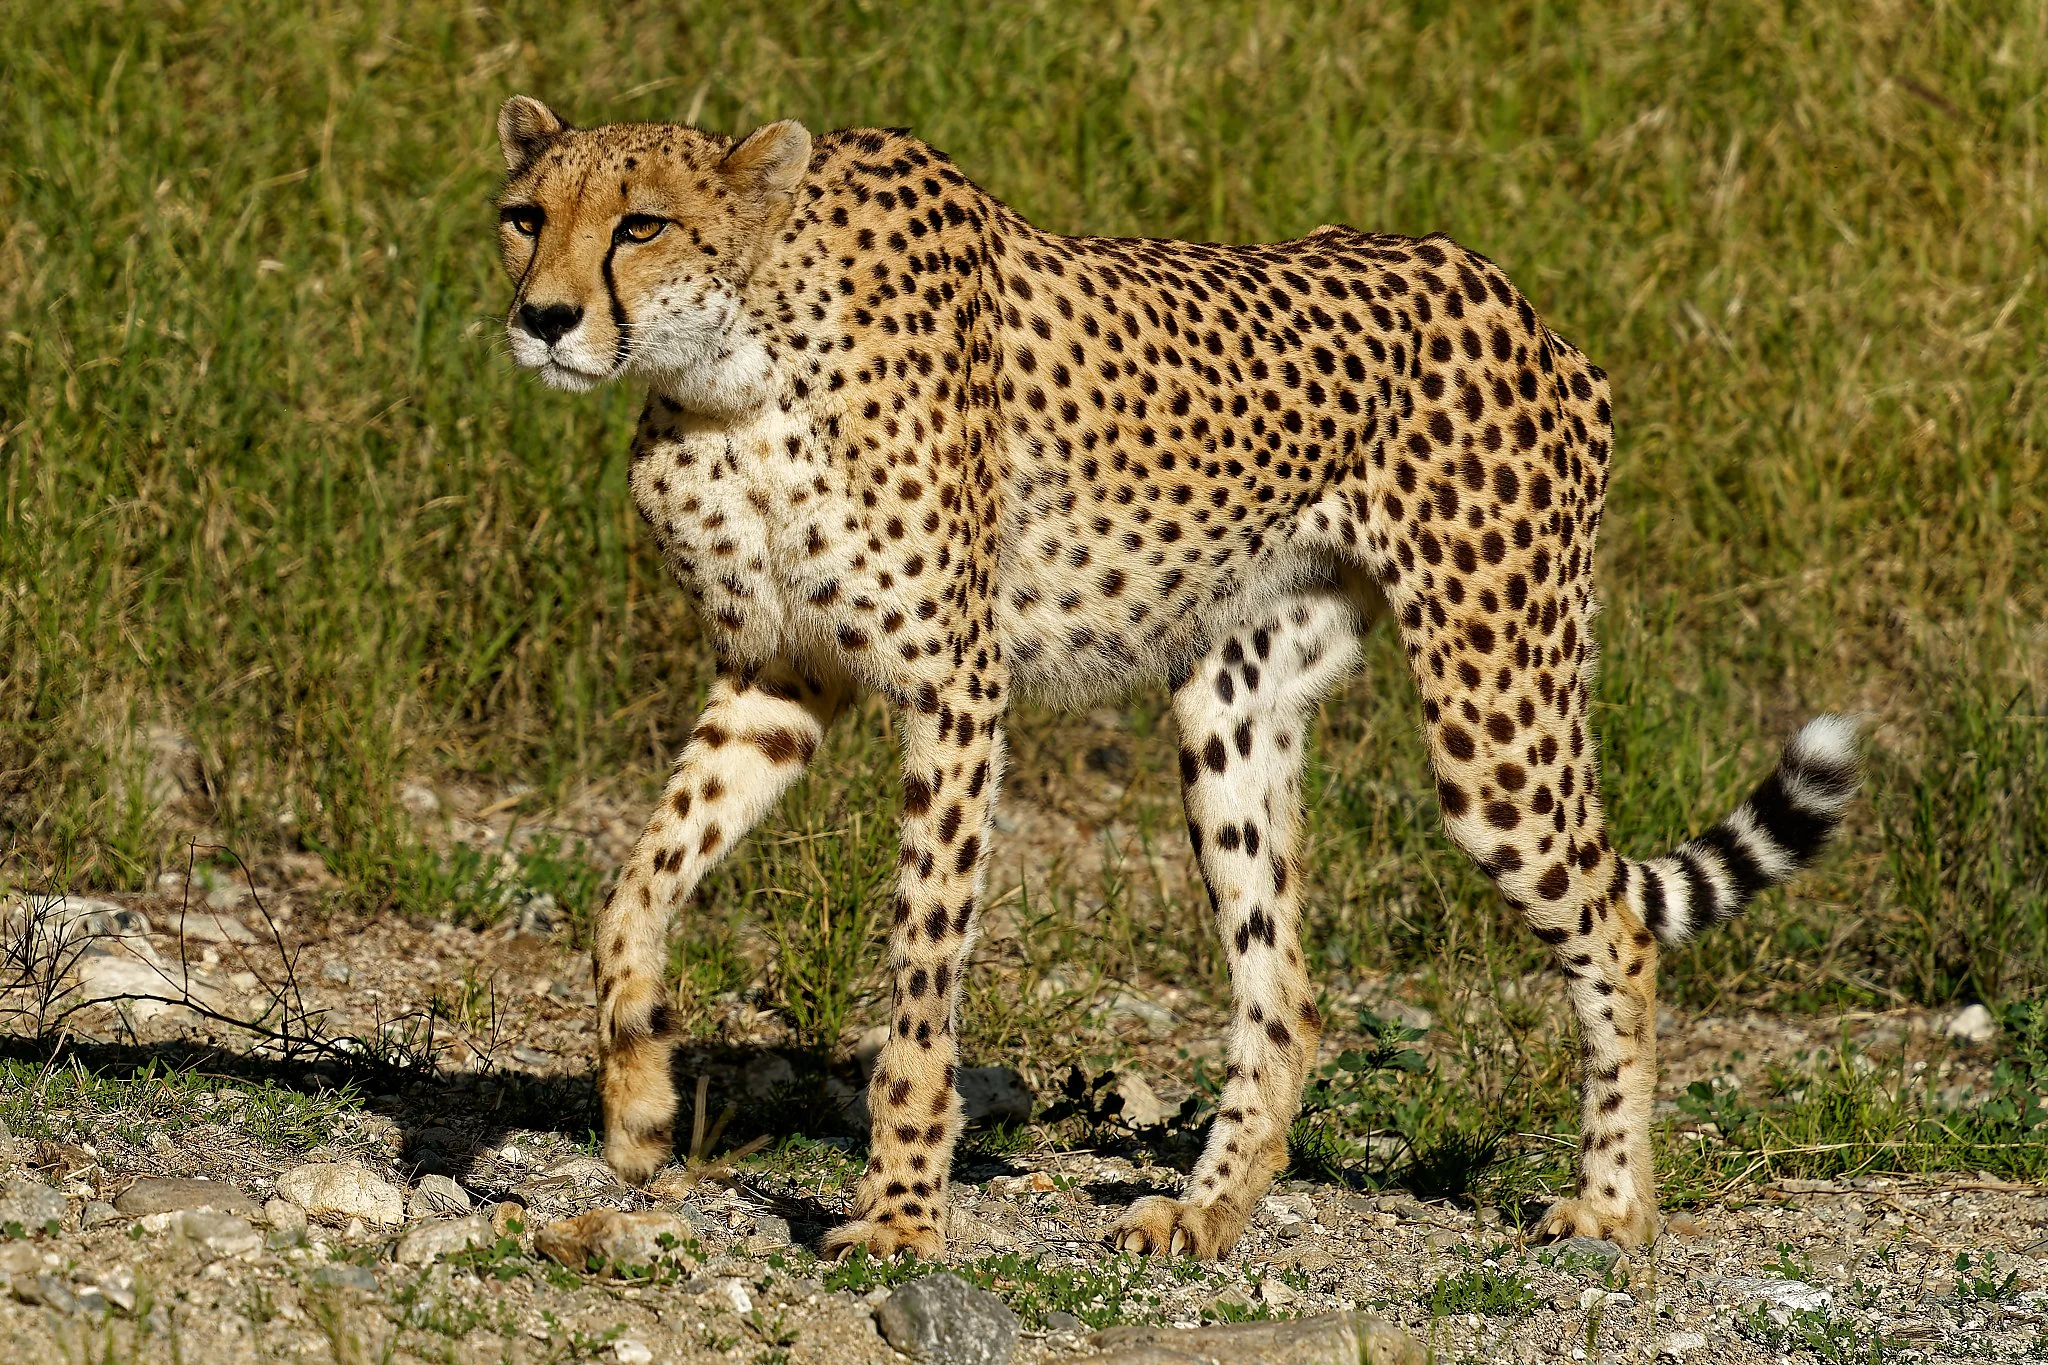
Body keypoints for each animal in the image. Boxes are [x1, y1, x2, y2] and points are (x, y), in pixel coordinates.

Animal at [489, 94, 1861, 1261]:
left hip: (1493, 707)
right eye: (524, 216)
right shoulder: (777, 682)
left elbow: (920, 980)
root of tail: (1510, 293)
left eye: (641, 223)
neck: (737, 366)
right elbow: (629, 892)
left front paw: (898, 1217)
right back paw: (1203, 1213)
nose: (542, 319)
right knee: (1286, 992)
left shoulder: (953, 692)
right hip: (1227, 709)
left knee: (1615, 929)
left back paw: (1613, 1206)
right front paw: (637, 1108)